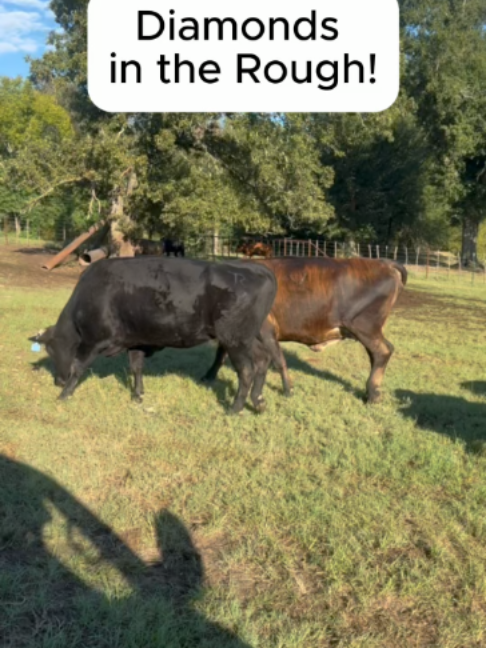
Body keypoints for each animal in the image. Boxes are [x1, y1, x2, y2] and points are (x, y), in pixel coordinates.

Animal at [29, 257, 282, 414]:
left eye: (51, 349)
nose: (58, 381)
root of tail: (256, 269)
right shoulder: (136, 341)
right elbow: (136, 367)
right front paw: (138, 394)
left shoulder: (92, 341)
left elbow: (78, 367)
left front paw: (64, 394)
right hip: (252, 337)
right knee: (263, 360)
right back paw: (258, 400)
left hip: (235, 339)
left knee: (247, 370)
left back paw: (235, 408)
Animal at [202, 257, 407, 404]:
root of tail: (384, 263)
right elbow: (220, 354)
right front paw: (208, 375)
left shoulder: (266, 329)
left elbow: (279, 359)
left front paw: (288, 389)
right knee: (376, 355)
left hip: (363, 326)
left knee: (383, 351)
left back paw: (372, 394)